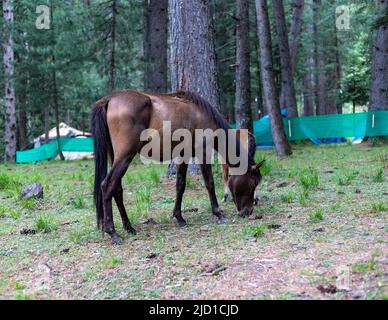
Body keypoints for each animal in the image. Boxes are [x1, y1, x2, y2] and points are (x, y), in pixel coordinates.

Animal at [91, 89, 266, 244]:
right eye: (253, 183)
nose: (248, 212)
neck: (202, 113)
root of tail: (109, 99)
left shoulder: (183, 155)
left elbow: (180, 185)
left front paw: (179, 217)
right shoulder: (203, 152)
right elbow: (209, 183)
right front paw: (219, 214)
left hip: (116, 156)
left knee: (117, 189)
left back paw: (129, 227)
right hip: (125, 156)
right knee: (107, 186)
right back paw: (113, 233)